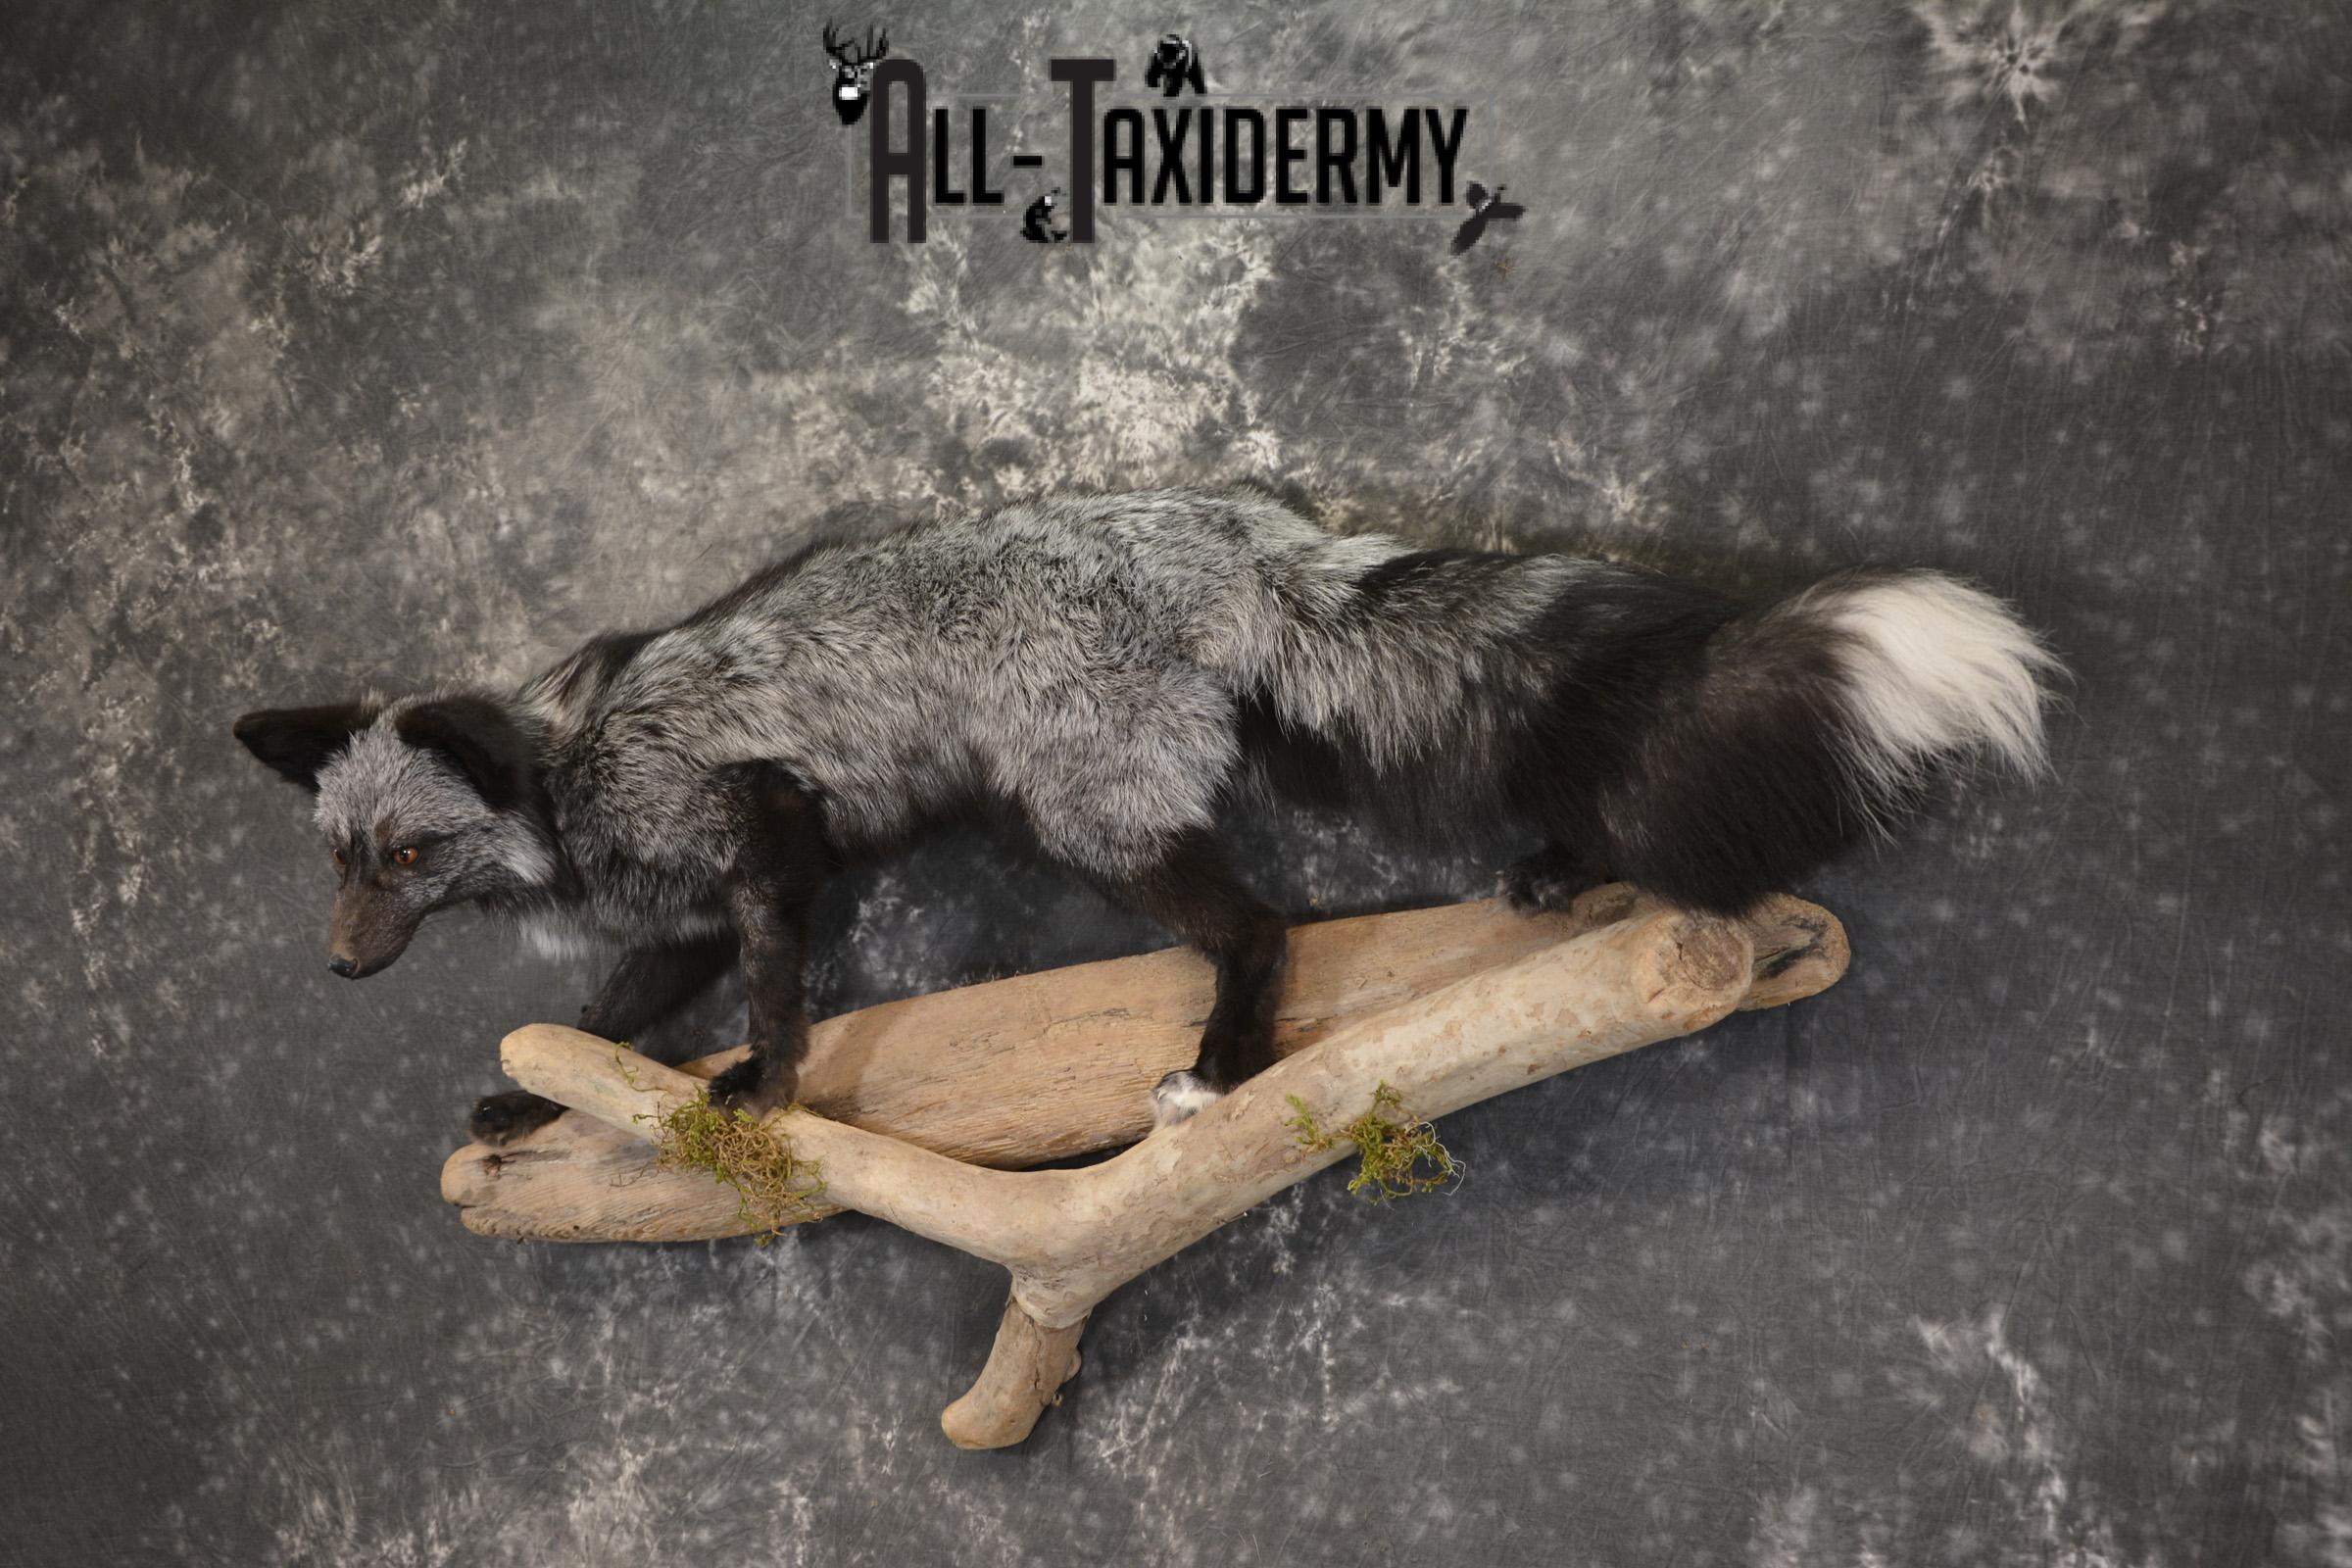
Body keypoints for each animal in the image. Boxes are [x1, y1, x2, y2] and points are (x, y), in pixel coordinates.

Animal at [233, 487, 2060, 1144]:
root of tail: (1223, 523)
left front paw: (765, 1088)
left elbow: (771, 995)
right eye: (342, 859)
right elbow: (612, 1018)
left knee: (1268, 927)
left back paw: (1227, 1069)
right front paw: (524, 1103)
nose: (334, 969)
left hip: (1089, 825)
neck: (574, 773)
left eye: (411, 854)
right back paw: (1557, 872)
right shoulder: (677, 916)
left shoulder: (762, 839)